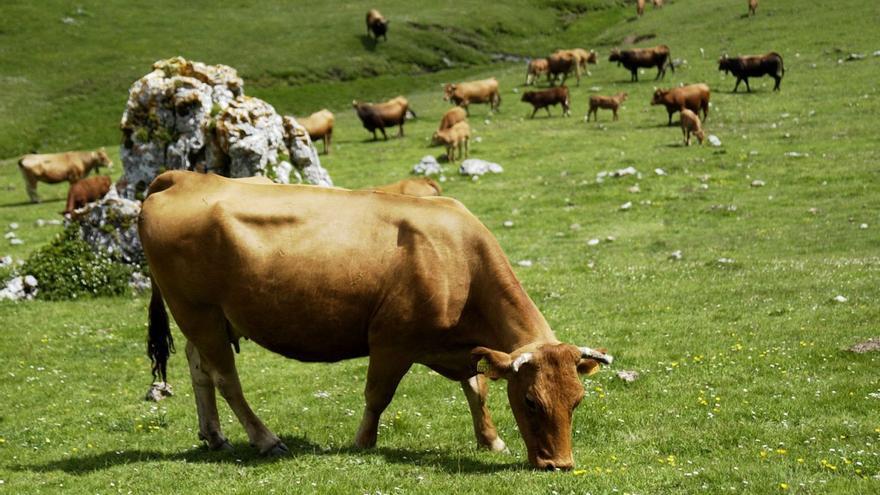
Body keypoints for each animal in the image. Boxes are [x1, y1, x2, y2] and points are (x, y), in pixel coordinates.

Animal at [141, 172, 616, 470]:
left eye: (577, 401)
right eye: (531, 401)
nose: (559, 464)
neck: (460, 259)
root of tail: (184, 177)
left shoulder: (463, 348)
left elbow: (476, 388)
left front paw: (491, 439)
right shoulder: (391, 340)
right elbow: (377, 395)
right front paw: (363, 442)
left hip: (209, 317)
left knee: (199, 365)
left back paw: (213, 435)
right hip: (197, 310)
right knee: (225, 377)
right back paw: (266, 440)